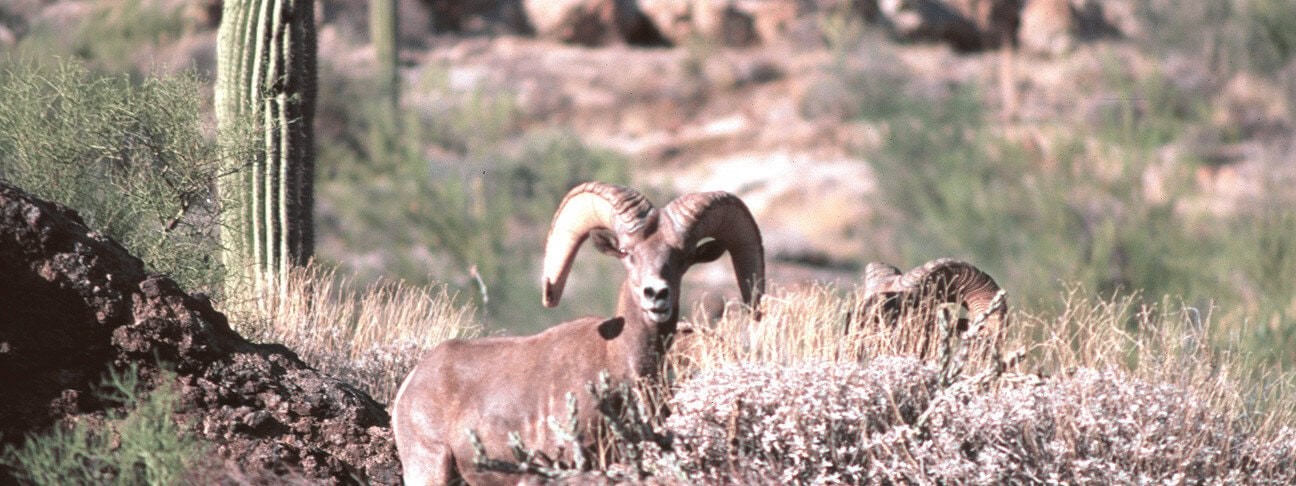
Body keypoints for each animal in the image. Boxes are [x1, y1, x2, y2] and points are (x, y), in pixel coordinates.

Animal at [392, 181, 765, 485]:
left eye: (684, 257)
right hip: (429, 467)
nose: (656, 294)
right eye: (626, 252)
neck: (620, 364)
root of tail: (412, 382)